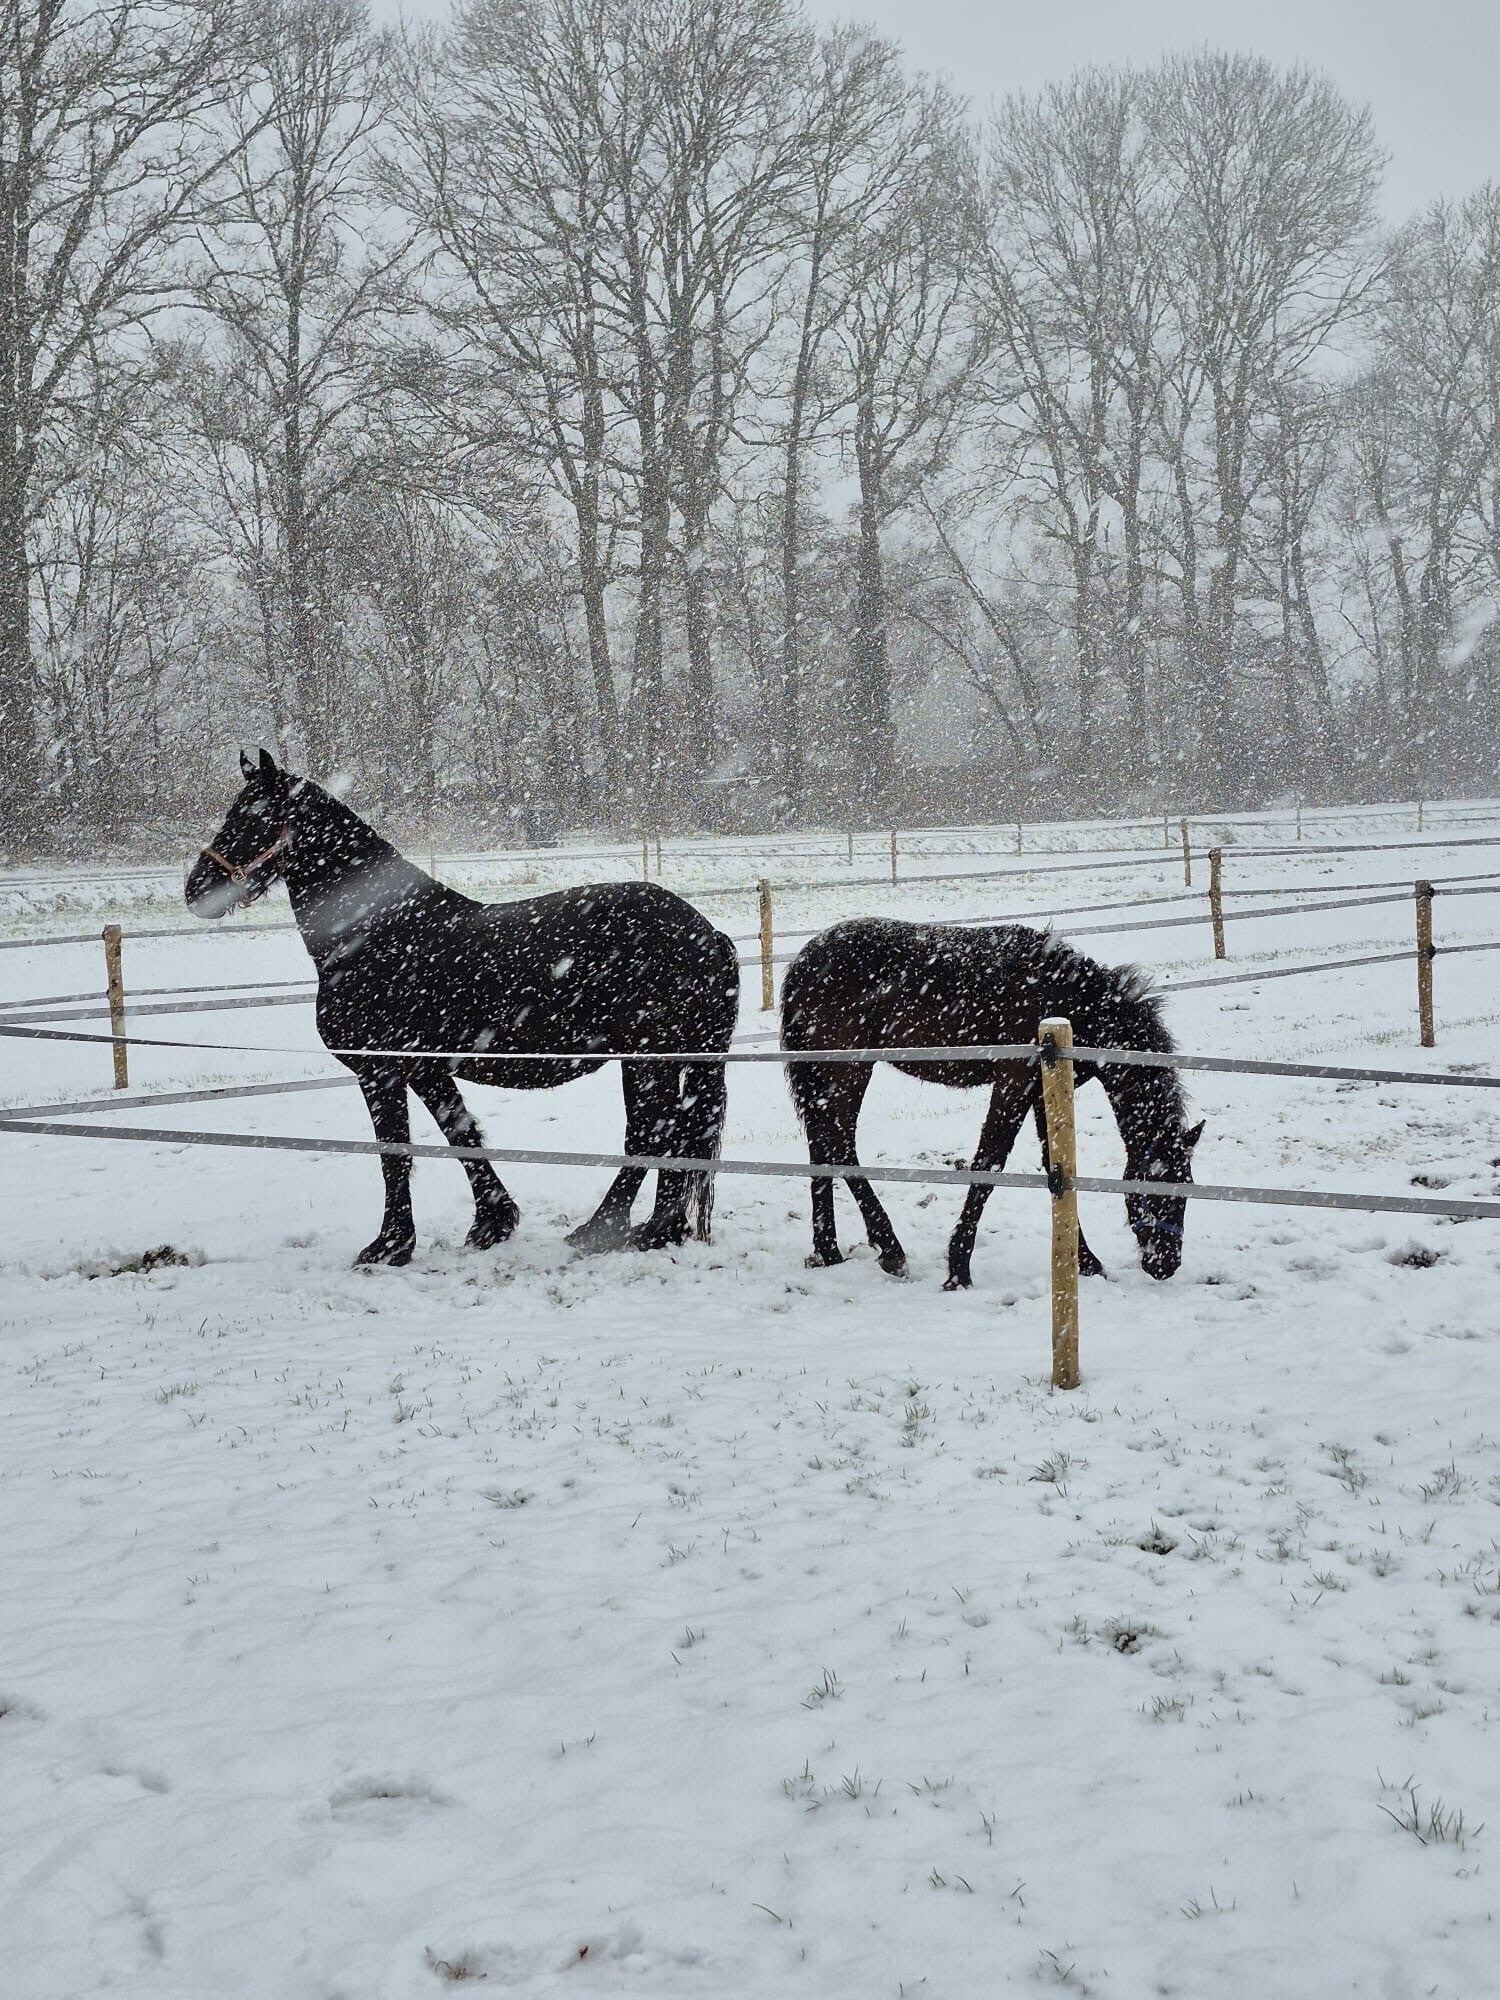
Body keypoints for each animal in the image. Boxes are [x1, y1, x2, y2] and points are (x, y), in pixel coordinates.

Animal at [185, 749, 739, 1266]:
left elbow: (395, 1154)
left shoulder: (380, 1071)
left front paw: (390, 1246)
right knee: (669, 1132)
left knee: (653, 1133)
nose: (195, 890)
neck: (376, 933)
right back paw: (650, 1230)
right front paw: (492, 1223)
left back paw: (615, 1231)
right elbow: (461, 1133)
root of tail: (705, 931)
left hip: (650, 1059)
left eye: (252, 816)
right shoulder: (426, 1069)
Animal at [780, 917, 1202, 1288]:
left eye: (1188, 1187)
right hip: (849, 1070)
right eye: (1161, 1190)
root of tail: (803, 963)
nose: (1166, 1265)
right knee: (839, 1144)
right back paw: (890, 1250)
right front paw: (958, 1270)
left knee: (823, 1144)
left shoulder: (1041, 1090)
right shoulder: (1013, 1082)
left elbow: (1056, 1164)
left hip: (828, 1077)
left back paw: (829, 1251)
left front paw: (1086, 1261)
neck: (1071, 1002)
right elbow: (989, 1162)